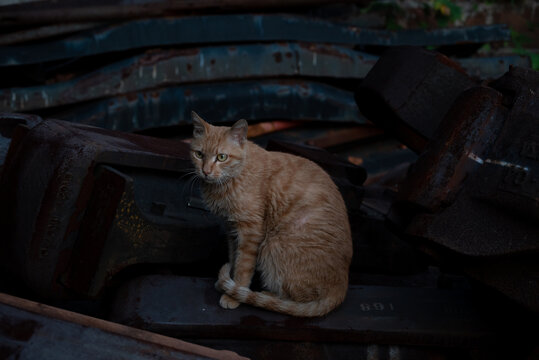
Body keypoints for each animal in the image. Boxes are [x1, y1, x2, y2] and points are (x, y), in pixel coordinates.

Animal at [191, 111, 354, 316]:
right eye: (199, 154)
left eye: (221, 157)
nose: (205, 171)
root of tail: (341, 286)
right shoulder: (231, 230)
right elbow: (233, 259)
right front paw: (228, 284)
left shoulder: (250, 232)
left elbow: (243, 267)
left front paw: (234, 294)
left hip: (273, 246)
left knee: (297, 299)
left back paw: (267, 296)